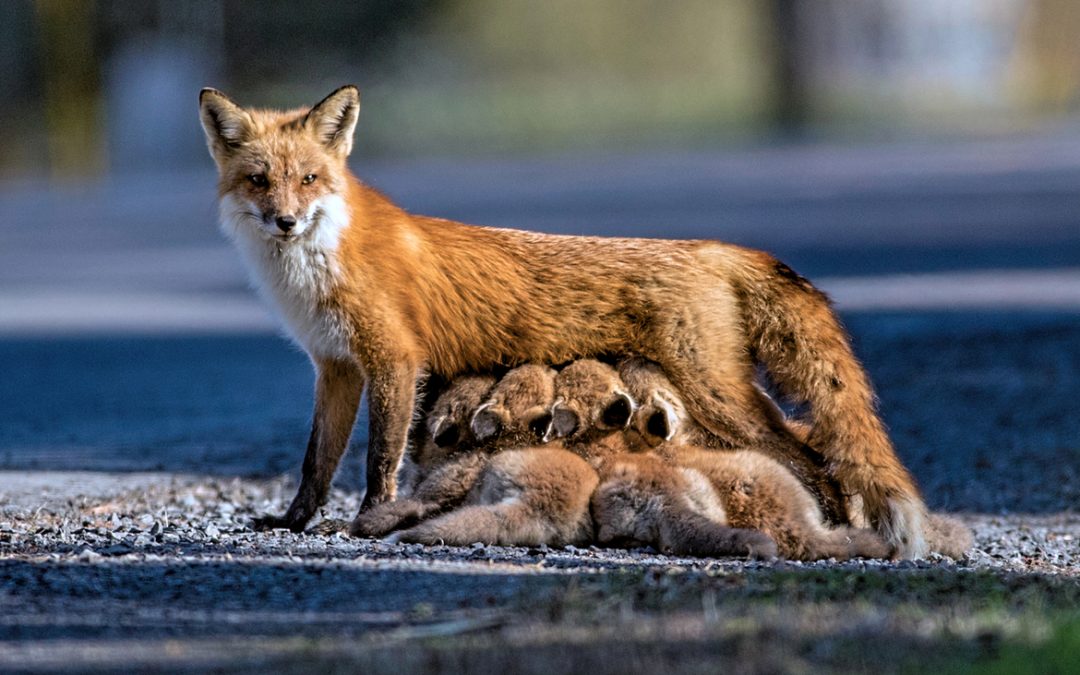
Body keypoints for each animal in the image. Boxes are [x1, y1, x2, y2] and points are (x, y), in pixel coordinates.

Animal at [199, 85, 929, 557]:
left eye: (310, 178)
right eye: (259, 180)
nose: (285, 221)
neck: (316, 266)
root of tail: (715, 248)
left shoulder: (394, 362)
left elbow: (379, 460)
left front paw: (367, 521)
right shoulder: (336, 368)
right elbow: (315, 463)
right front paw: (291, 522)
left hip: (719, 399)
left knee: (818, 459)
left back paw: (837, 530)